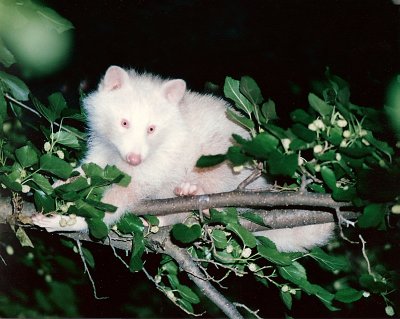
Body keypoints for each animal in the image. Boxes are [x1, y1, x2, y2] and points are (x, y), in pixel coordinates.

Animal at [32, 66, 334, 252]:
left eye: (151, 128)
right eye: (124, 122)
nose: (133, 159)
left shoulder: (160, 159)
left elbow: (125, 193)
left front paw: (74, 219)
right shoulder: (103, 146)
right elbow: (91, 167)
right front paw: (63, 182)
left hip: (228, 160)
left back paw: (192, 197)